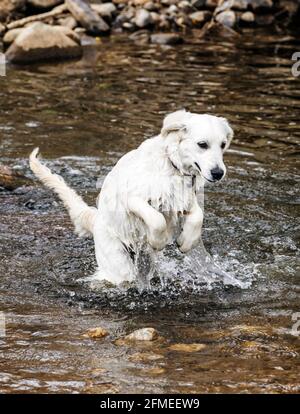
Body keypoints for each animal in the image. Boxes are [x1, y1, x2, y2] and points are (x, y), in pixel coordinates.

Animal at [29, 110, 233, 284]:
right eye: (202, 144)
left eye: (223, 144)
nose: (218, 173)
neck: (172, 165)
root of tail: (96, 220)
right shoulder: (131, 198)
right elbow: (157, 219)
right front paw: (158, 240)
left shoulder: (185, 200)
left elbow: (198, 216)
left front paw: (187, 241)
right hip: (119, 264)